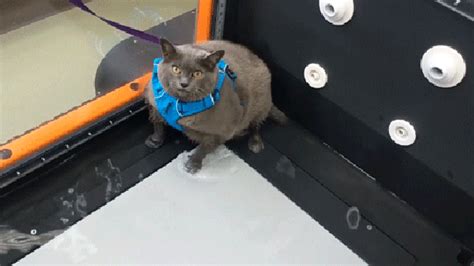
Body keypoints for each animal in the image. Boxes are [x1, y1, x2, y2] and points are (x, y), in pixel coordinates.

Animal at [143, 38, 286, 174]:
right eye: (176, 69)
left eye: (198, 73)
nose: (184, 83)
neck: (181, 105)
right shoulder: (154, 104)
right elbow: (157, 124)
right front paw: (155, 140)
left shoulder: (222, 130)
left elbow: (204, 148)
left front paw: (193, 164)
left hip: (261, 103)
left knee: (256, 124)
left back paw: (255, 143)